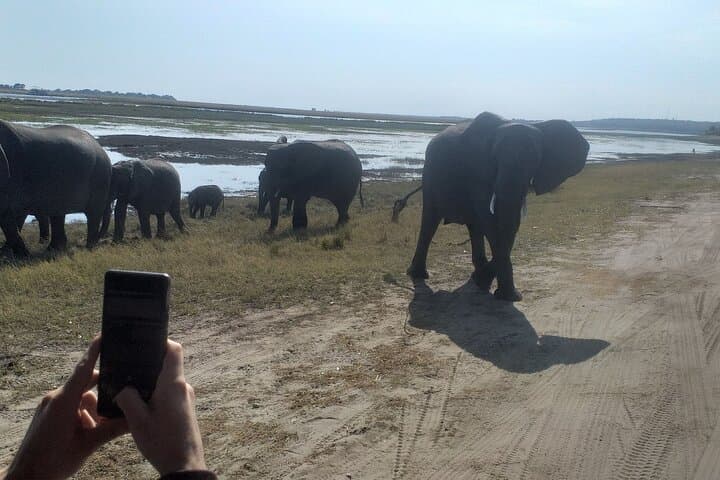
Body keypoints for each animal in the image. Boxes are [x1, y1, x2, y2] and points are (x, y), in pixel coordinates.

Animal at [0, 120, 111, 256]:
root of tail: (100, 147)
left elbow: (5, 214)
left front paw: (20, 255)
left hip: (99, 176)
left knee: (93, 214)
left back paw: (88, 248)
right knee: (57, 215)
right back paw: (53, 249)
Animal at [395, 112, 589, 301]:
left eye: (535, 161)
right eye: (495, 158)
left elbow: (509, 223)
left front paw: (489, 285)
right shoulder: (477, 171)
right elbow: (489, 219)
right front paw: (500, 292)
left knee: (474, 225)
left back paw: (478, 271)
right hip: (429, 175)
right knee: (430, 221)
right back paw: (418, 274)